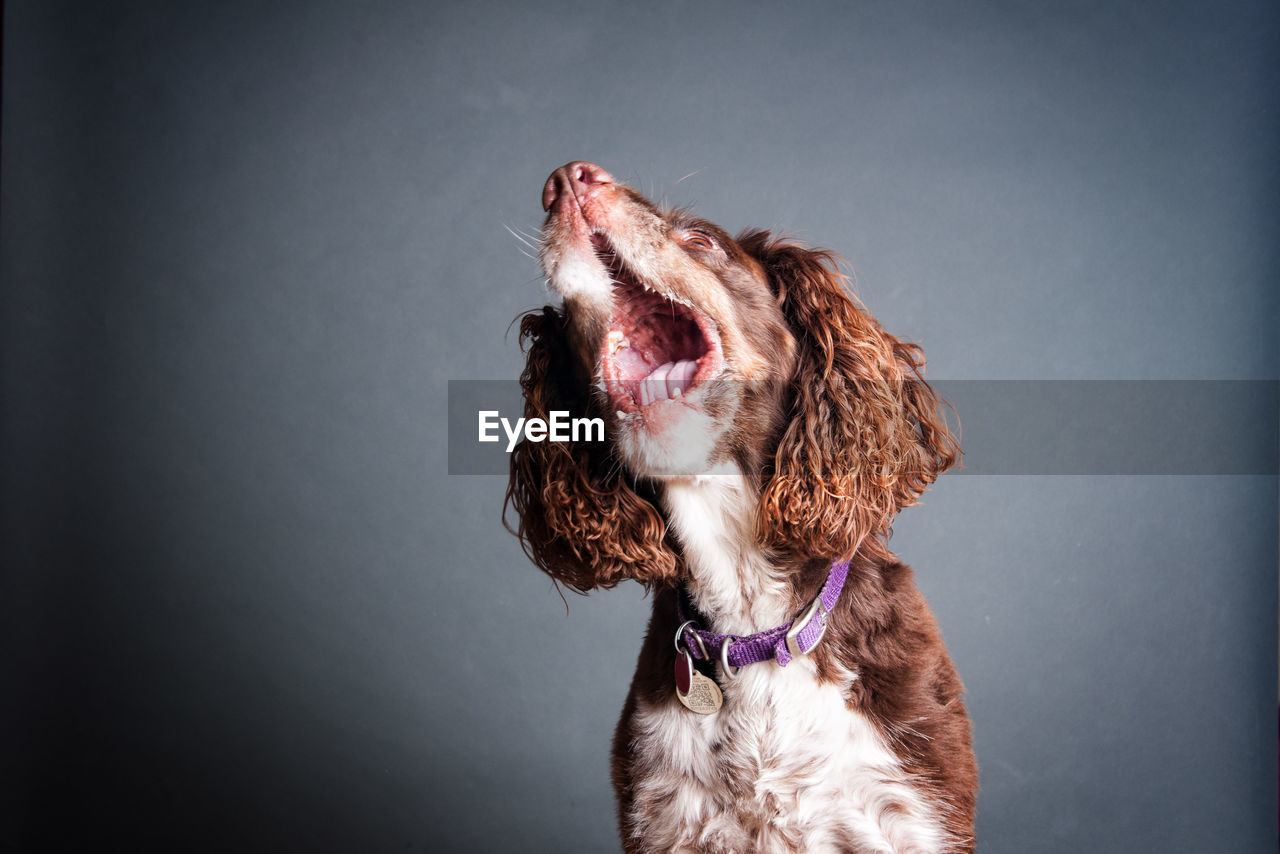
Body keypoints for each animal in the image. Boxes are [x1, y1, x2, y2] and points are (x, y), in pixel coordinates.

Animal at [504, 161, 972, 854]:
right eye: (563, 317)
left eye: (701, 240)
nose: (568, 177)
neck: (749, 620)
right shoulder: (666, 818)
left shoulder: (912, 816)